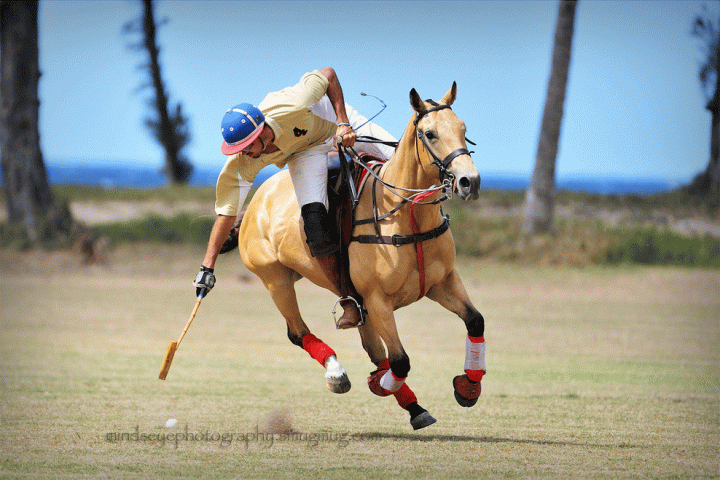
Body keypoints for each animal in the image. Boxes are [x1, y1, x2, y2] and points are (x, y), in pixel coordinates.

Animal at [239, 83, 486, 432]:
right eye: (429, 133)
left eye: (463, 129)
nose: (469, 182)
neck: (406, 215)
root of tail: (257, 199)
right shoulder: (378, 298)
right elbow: (400, 360)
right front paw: (380, 384)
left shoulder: (443, 282)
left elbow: (475, 321)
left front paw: (468, 387)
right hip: (276, 280)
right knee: (297, 332)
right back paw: (337, 374)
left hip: (349, 294)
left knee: (367, 340)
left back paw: (413, 405)